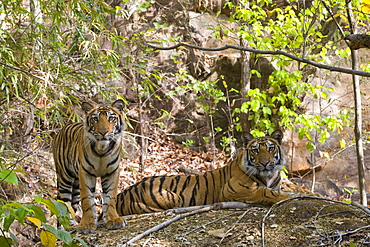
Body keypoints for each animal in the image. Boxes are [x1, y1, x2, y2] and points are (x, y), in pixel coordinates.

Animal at [52, 99, 125, 233]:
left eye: (111, 118)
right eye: (95, 119)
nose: (103, 132)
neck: (102, 149)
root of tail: (61, 130)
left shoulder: (112, 171)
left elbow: (110, 196)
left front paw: (113, 220)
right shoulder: (85, 172)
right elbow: (87, 199)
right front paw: (86, 224)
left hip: (76, 185)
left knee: (72, 205)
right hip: (65, 178)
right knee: (64, 203)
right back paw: (68, 227)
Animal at [115, 130, 292, 215]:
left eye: (270, 148)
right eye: (255, 150)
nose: (265, 162)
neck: (269, 175)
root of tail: (122, 194)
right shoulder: (233, 189)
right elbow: (265, 192)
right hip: (174, 197)